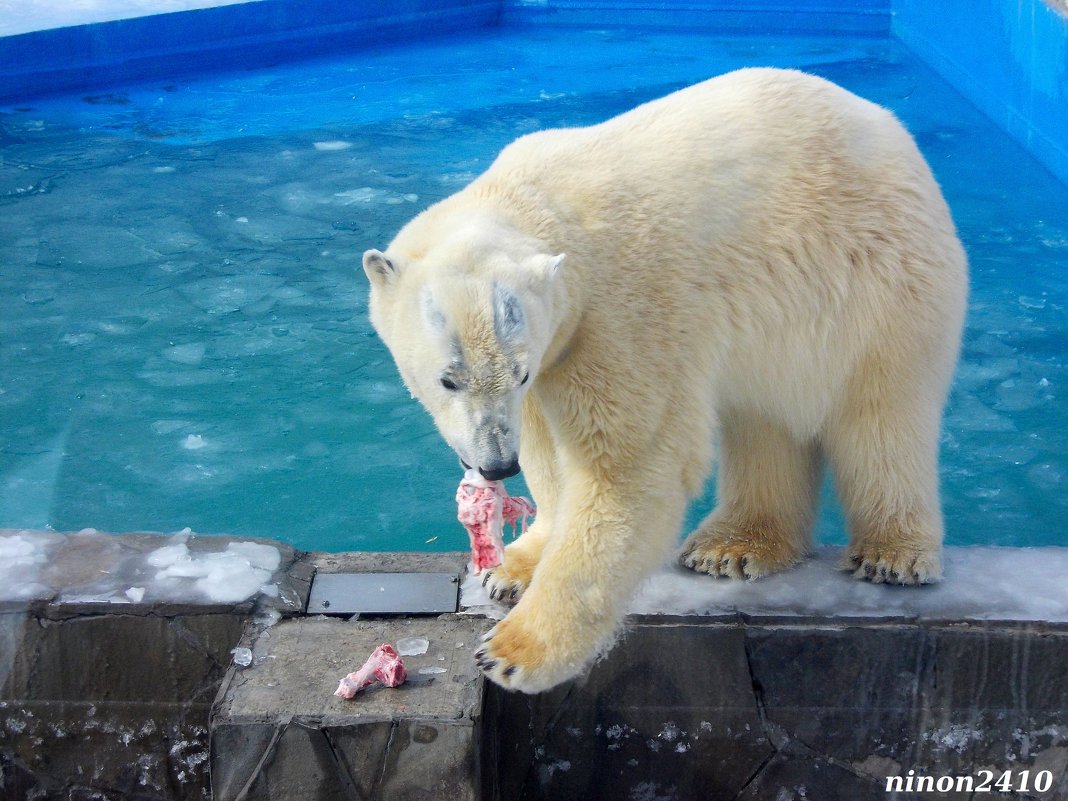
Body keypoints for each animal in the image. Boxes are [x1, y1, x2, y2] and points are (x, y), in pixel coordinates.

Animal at [360, 70, 969, 696]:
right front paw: (513, 568)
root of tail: (897, 137)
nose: (496, 466)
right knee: (764, 420)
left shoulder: (622, 311)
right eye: (448, 379)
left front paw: (513, 651)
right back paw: (733, 545)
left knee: (882, 416)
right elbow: (547, 453)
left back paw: (891, 554)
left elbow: (628, 467)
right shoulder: (554, 346)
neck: (541, 200)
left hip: (880, 282)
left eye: (515, 370)